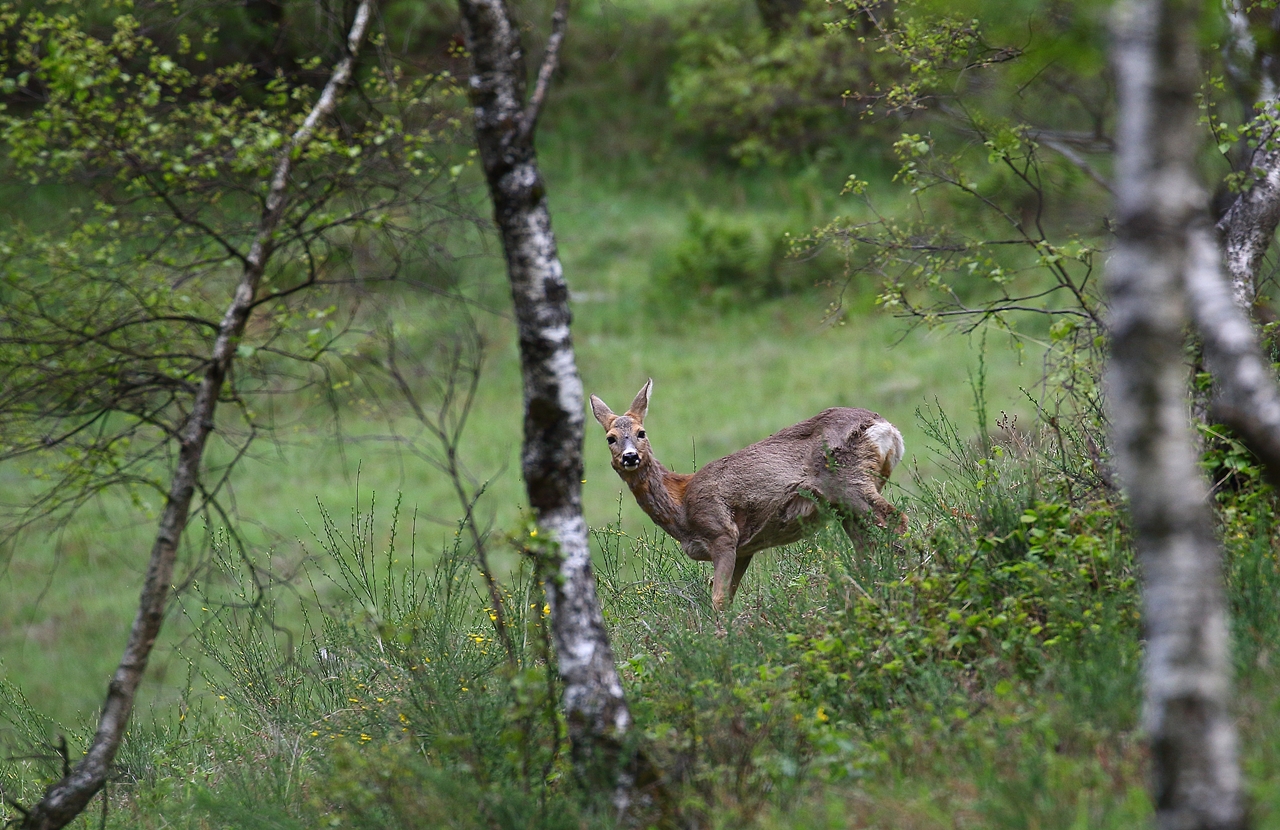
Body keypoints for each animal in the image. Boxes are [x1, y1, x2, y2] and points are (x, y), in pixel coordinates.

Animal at [591, 379, 911, 612]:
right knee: (867, 544)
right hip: (846, 502)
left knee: (896, 521)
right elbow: (729, 596)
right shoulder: (746, 548)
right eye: (610, 438)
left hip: (850, 483)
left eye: (641, 432)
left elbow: (718, 600)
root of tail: (889, 429)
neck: (680, 503)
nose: (630, 457)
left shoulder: (722, 533)